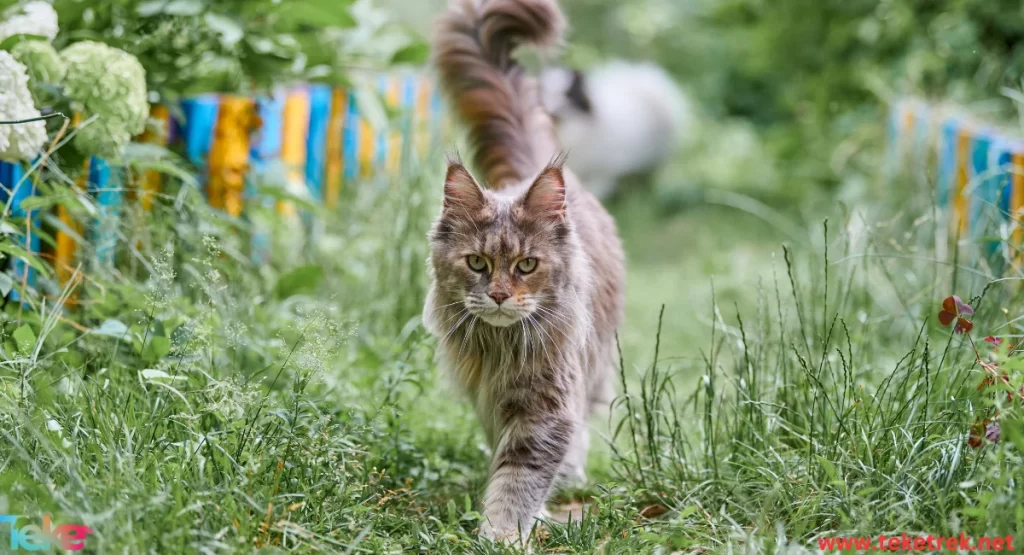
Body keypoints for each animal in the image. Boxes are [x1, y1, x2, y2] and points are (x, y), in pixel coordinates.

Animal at [423, 0, 622, 548]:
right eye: (477, 263)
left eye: (526, 265)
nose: (498, 295)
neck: (502, 349)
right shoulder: (495, 398)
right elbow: (507, 467)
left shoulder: (547, 407)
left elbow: (519, 477)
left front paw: (503, 535)